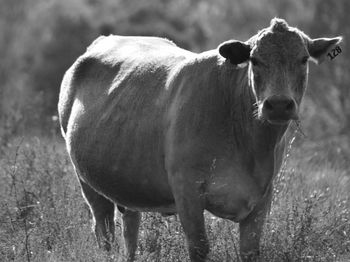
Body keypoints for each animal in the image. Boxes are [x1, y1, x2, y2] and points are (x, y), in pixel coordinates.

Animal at [58, 18, 340, 262]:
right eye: (255, 60)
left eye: (303, 59)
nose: (279, 104)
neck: (251, 148)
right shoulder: (187, 190)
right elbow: (199, 247)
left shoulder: (263, 195)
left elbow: (250, 250)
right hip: (87, 181)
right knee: (104, 231)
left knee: (130, 228)